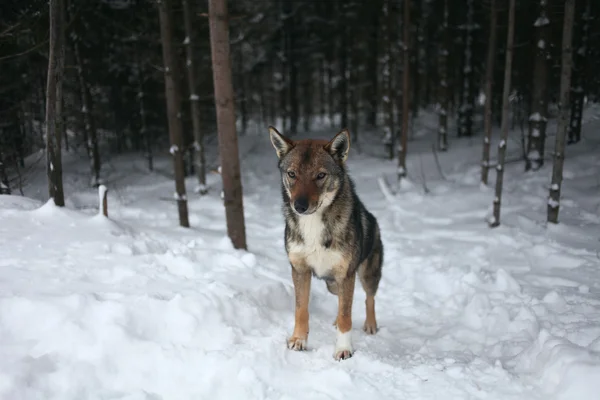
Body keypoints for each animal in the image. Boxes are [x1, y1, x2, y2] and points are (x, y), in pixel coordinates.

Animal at [268, 126, 384, 360]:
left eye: (320, 175)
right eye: (292, 174)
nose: (299, 206)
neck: (313, 224)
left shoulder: (346, 274)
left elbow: (347, 316)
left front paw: (343, 349)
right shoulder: (300, 270)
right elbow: (301, 310)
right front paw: (298, 340)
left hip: (367, 274)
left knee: (369, 298)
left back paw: (370, 325)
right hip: (332, 284)